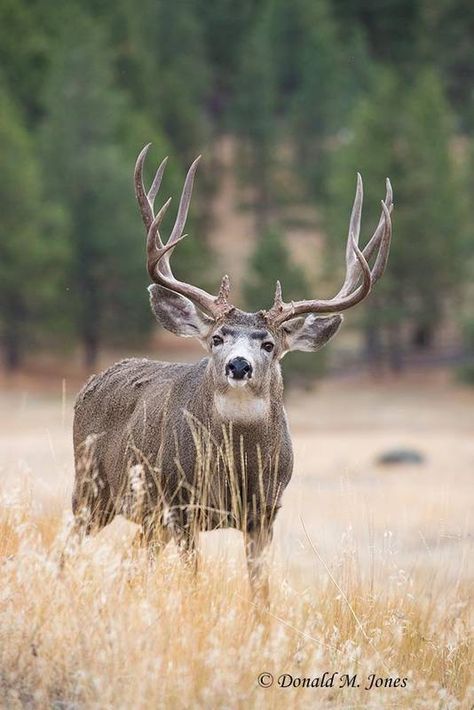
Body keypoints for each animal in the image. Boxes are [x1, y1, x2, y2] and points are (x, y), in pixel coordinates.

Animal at [71, 146, 392, 596]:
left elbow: (260, 589)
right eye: (218, 338)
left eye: (269, 344)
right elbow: (193, 576)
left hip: (141, 514)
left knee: (135, 557)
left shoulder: (264, 515)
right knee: (70, 545)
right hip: (91, 487)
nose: (238, 365)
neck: (236, 471)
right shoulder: (182, 505)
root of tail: (95, 380)